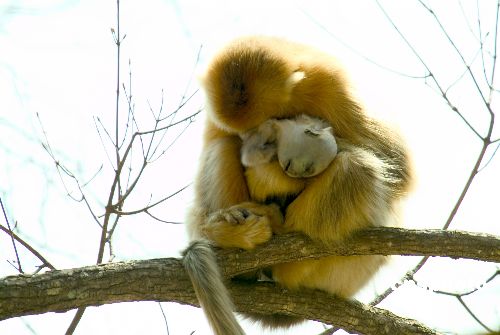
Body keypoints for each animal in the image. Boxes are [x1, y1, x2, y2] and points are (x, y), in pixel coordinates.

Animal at [182, 35, 412, 334]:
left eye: (261, 131)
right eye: (249, 133)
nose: (254, 147)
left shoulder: (330, 85)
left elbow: (397, 165)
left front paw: (273, 174)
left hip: (342, 273)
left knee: (357, 166)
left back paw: (278, 224)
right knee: (222, 146)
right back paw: (231, 238)